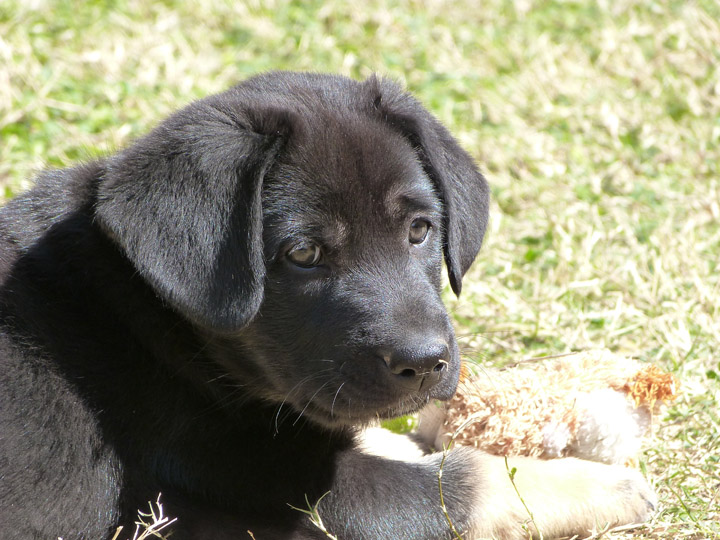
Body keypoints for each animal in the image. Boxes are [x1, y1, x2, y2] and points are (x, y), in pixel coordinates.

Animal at [0, 73, 652, 540]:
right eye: (304, 253)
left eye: (420, 231)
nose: (426, 364)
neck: (155, 327)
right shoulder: (277, 487)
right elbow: (470, 481)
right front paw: (608, 485)